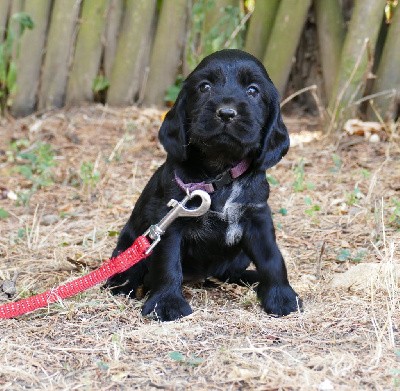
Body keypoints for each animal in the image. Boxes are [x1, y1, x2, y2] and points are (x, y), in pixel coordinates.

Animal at [104, 49, 302, 322]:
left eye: (253, 90)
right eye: (205, 87)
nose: (227, 113)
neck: (218, 174)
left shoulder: (257, 217)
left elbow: (272, 258)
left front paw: (281, 296)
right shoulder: (170, 220)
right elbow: (167, 264)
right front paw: (167, 303)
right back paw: (124, 284)